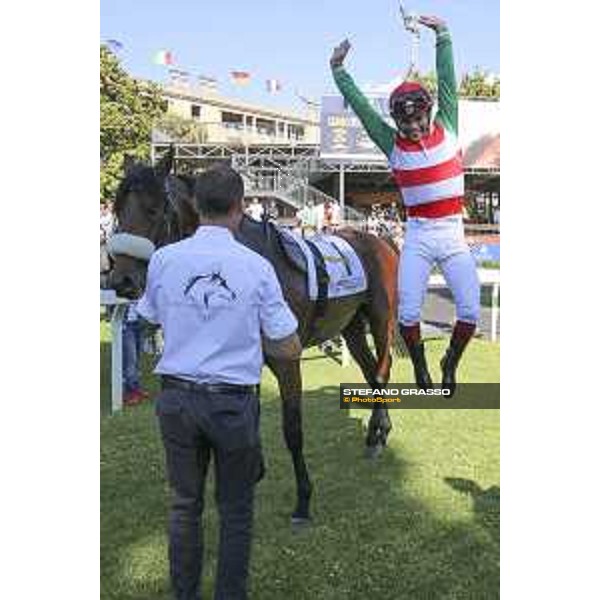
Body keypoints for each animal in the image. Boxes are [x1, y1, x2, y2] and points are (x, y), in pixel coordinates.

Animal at [107, 149, 400, 524]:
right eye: (118, 210)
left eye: (154, 209)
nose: (121, 281)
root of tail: (380, 240)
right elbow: (249, 416)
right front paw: (251, 472)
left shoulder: (286, 358)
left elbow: (292, 428)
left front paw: (303, 498)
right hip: (349, 325)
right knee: (371, 372)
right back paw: (377, 433)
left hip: (380, 317)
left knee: (382, 370)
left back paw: (378, 433)